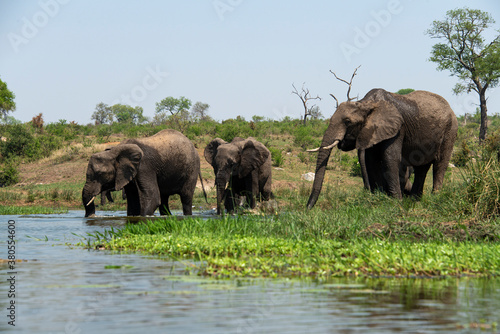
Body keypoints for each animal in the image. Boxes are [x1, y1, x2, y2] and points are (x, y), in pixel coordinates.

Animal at [304, 88, 458, 209]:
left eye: (347, 121)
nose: (307, 208)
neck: (366, 103)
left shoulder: (397, 128)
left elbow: (390, 158)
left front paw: (396, 203)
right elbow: (371, 162)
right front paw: (378, 199)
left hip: (450, 130)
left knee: (440, 164)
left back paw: (434, 198)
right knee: (422, 168)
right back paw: (415, 201)